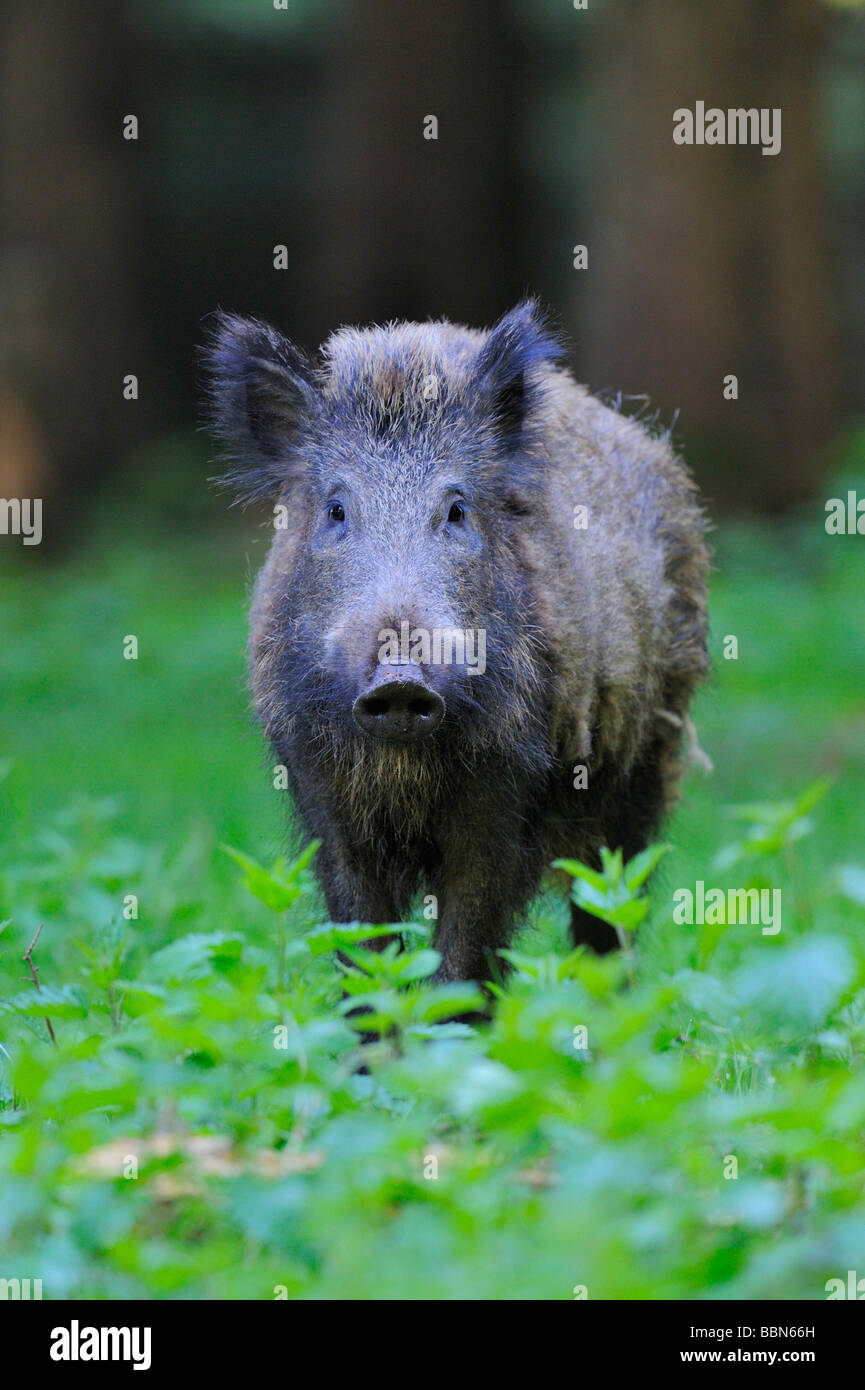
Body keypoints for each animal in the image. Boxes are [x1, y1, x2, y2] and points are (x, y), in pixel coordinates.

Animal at [204, 301, 709, 989]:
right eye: (336, 510)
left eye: (457, 510)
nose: (399, 678)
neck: (404, 769)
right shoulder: (319, 789)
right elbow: (364, 952)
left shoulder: (507, 790)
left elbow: (466, 957)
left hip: (648, 756)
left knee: (611, 913)